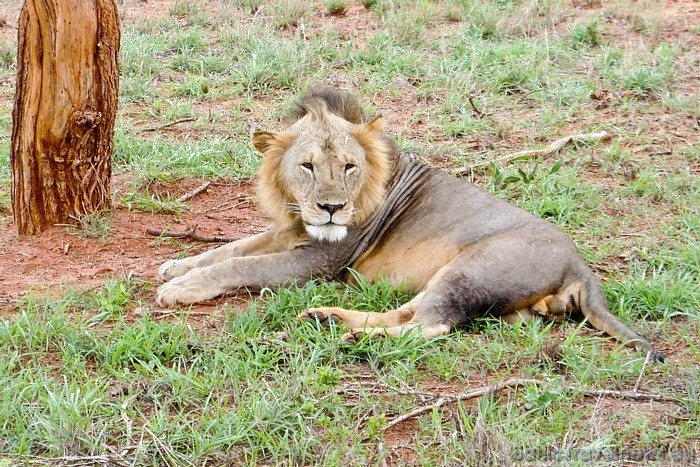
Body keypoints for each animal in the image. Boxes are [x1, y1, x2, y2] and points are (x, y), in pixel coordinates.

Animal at [156, 89, 664, 364]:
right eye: (306, 166)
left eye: (348, 167)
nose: (331, 208)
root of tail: (582, 267)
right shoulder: (292, 230)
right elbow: (230, 248)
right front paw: (174, 267)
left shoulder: (320, 259)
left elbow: (239, 267)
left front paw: (180, 288)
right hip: (475, 286)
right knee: (413, 312)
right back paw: (328, 318)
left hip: (473, 267)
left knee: (430, 325)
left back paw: (355, 337)